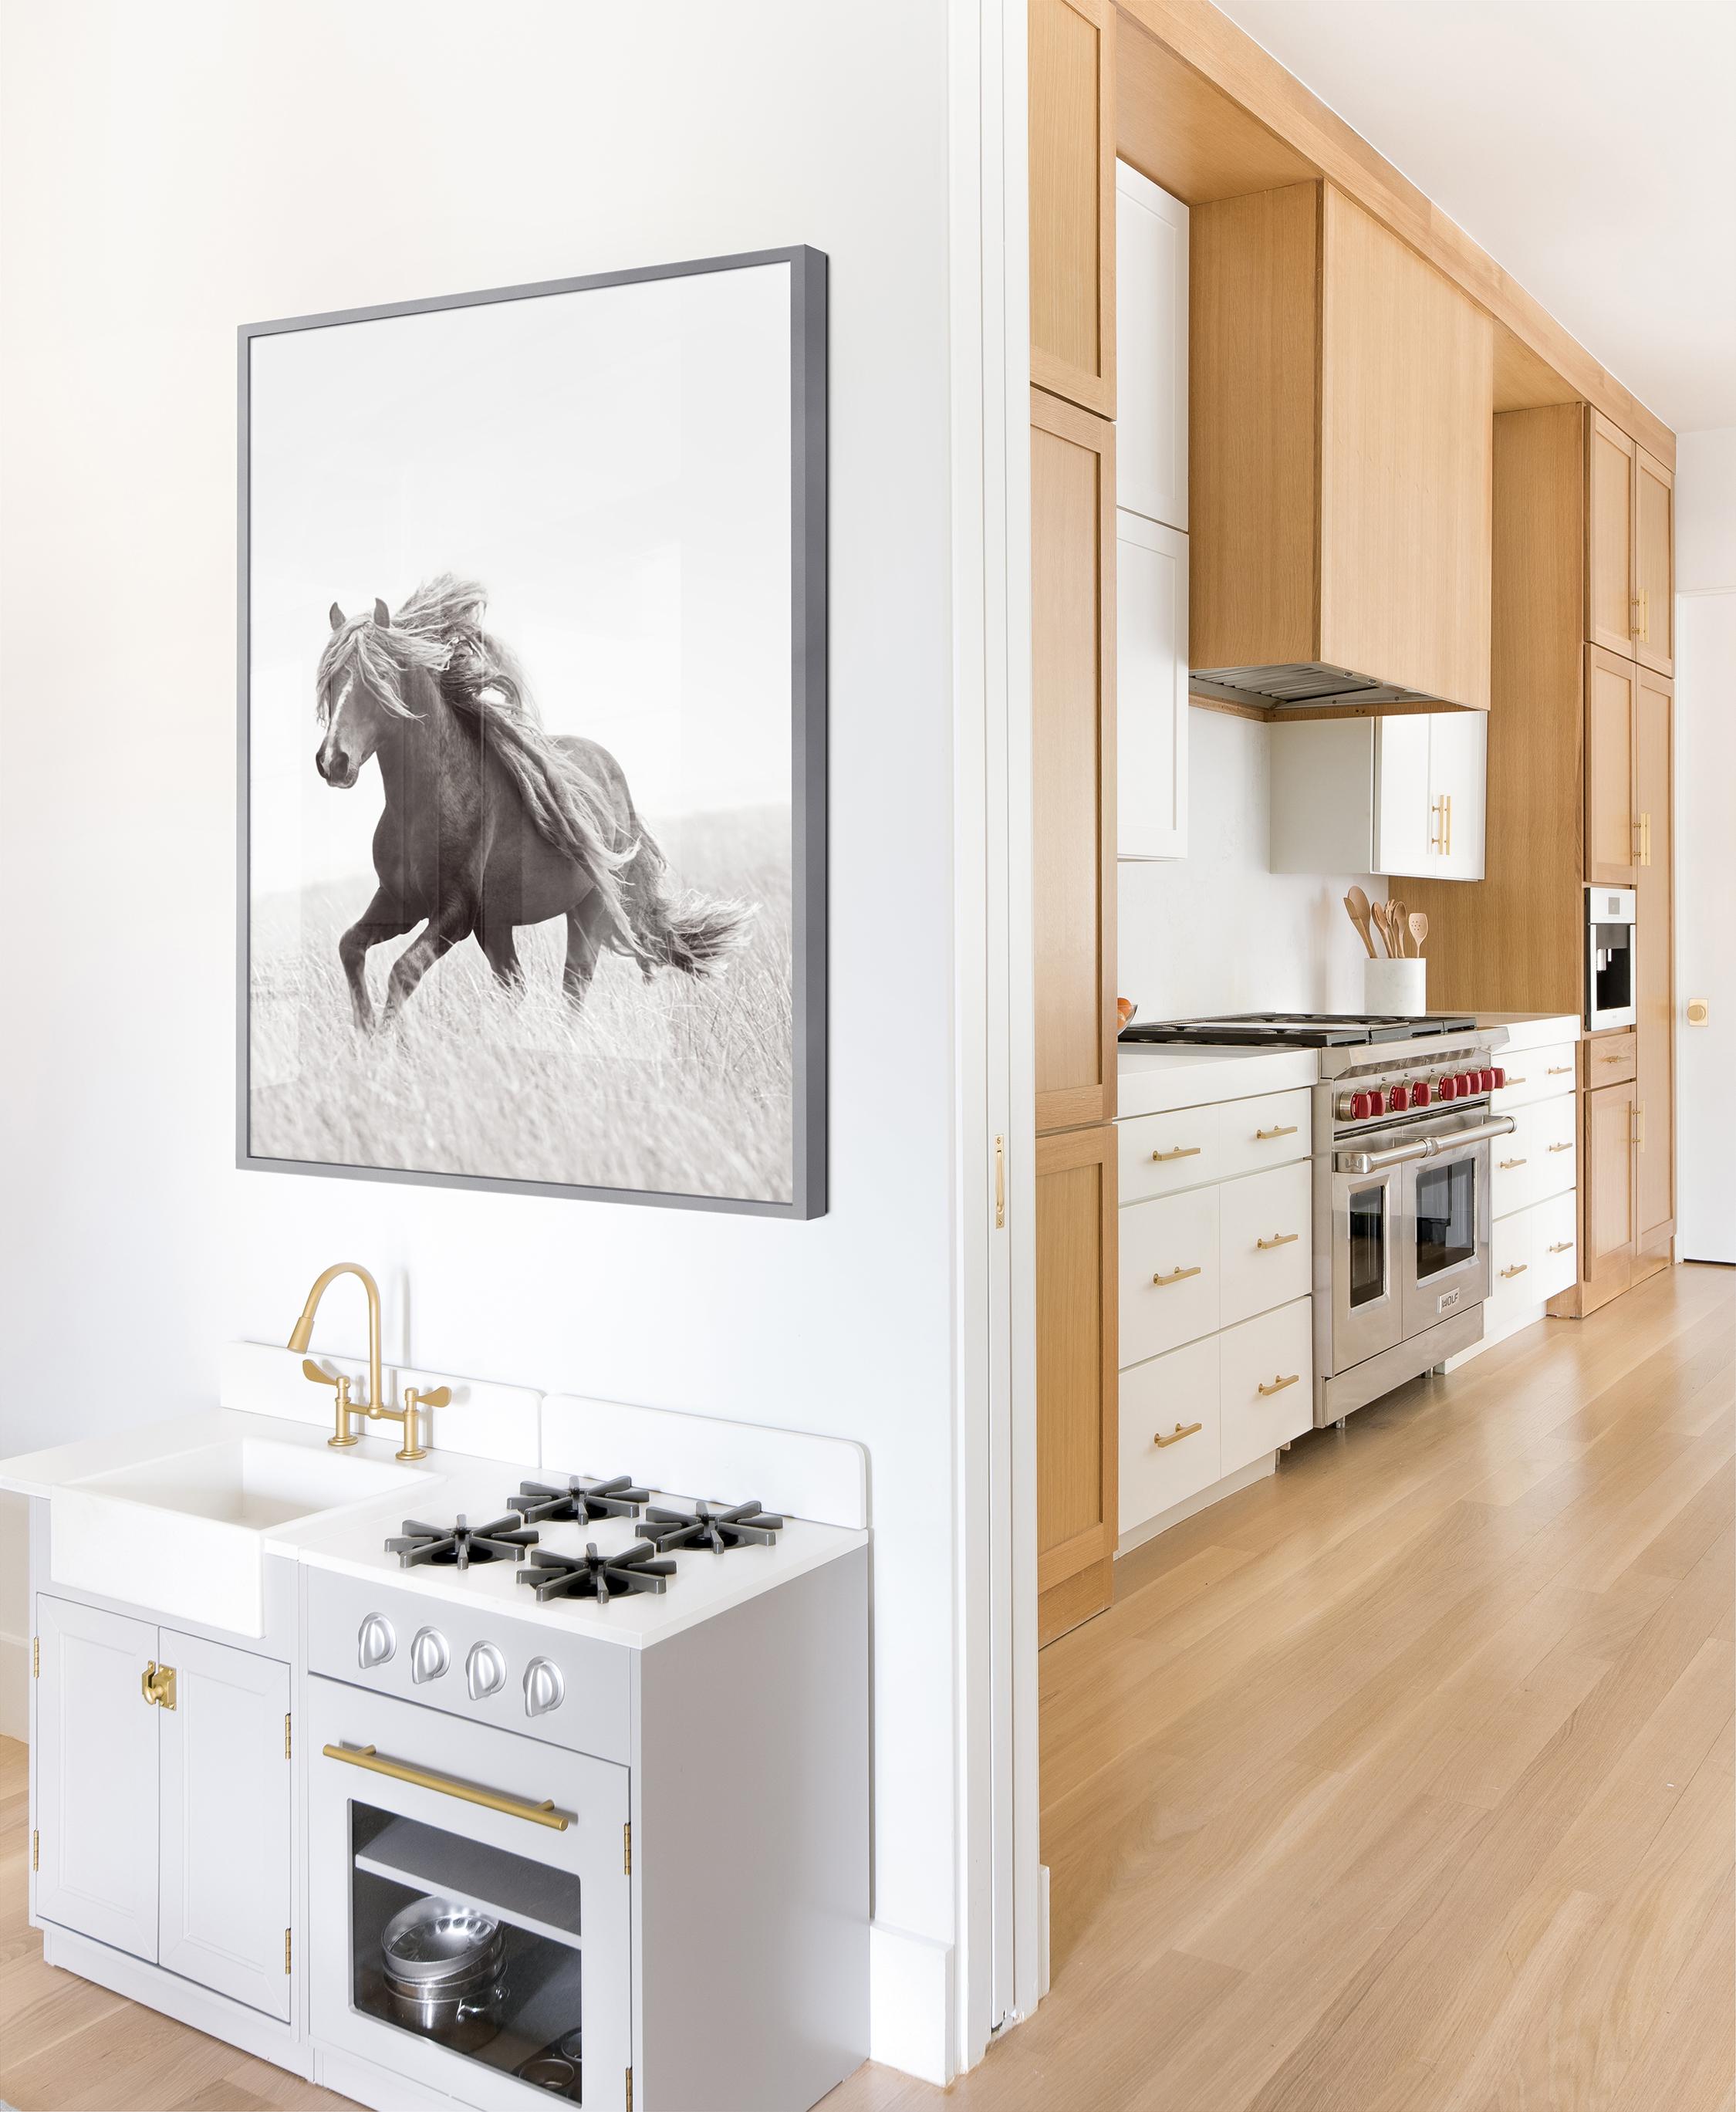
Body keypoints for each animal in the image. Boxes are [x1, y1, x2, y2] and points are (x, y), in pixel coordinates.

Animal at [312, 574, 747, 1026]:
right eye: (331, 678)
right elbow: (350, 948)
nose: (333, 761)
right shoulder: (400, 903)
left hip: (586, 909)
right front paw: (365, 1031)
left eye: (379, 674)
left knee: (574, 982)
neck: (425, 804)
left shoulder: (453, 915)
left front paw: (389, 1038)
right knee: (517, 986)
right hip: (496, 924)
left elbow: (403, 971)